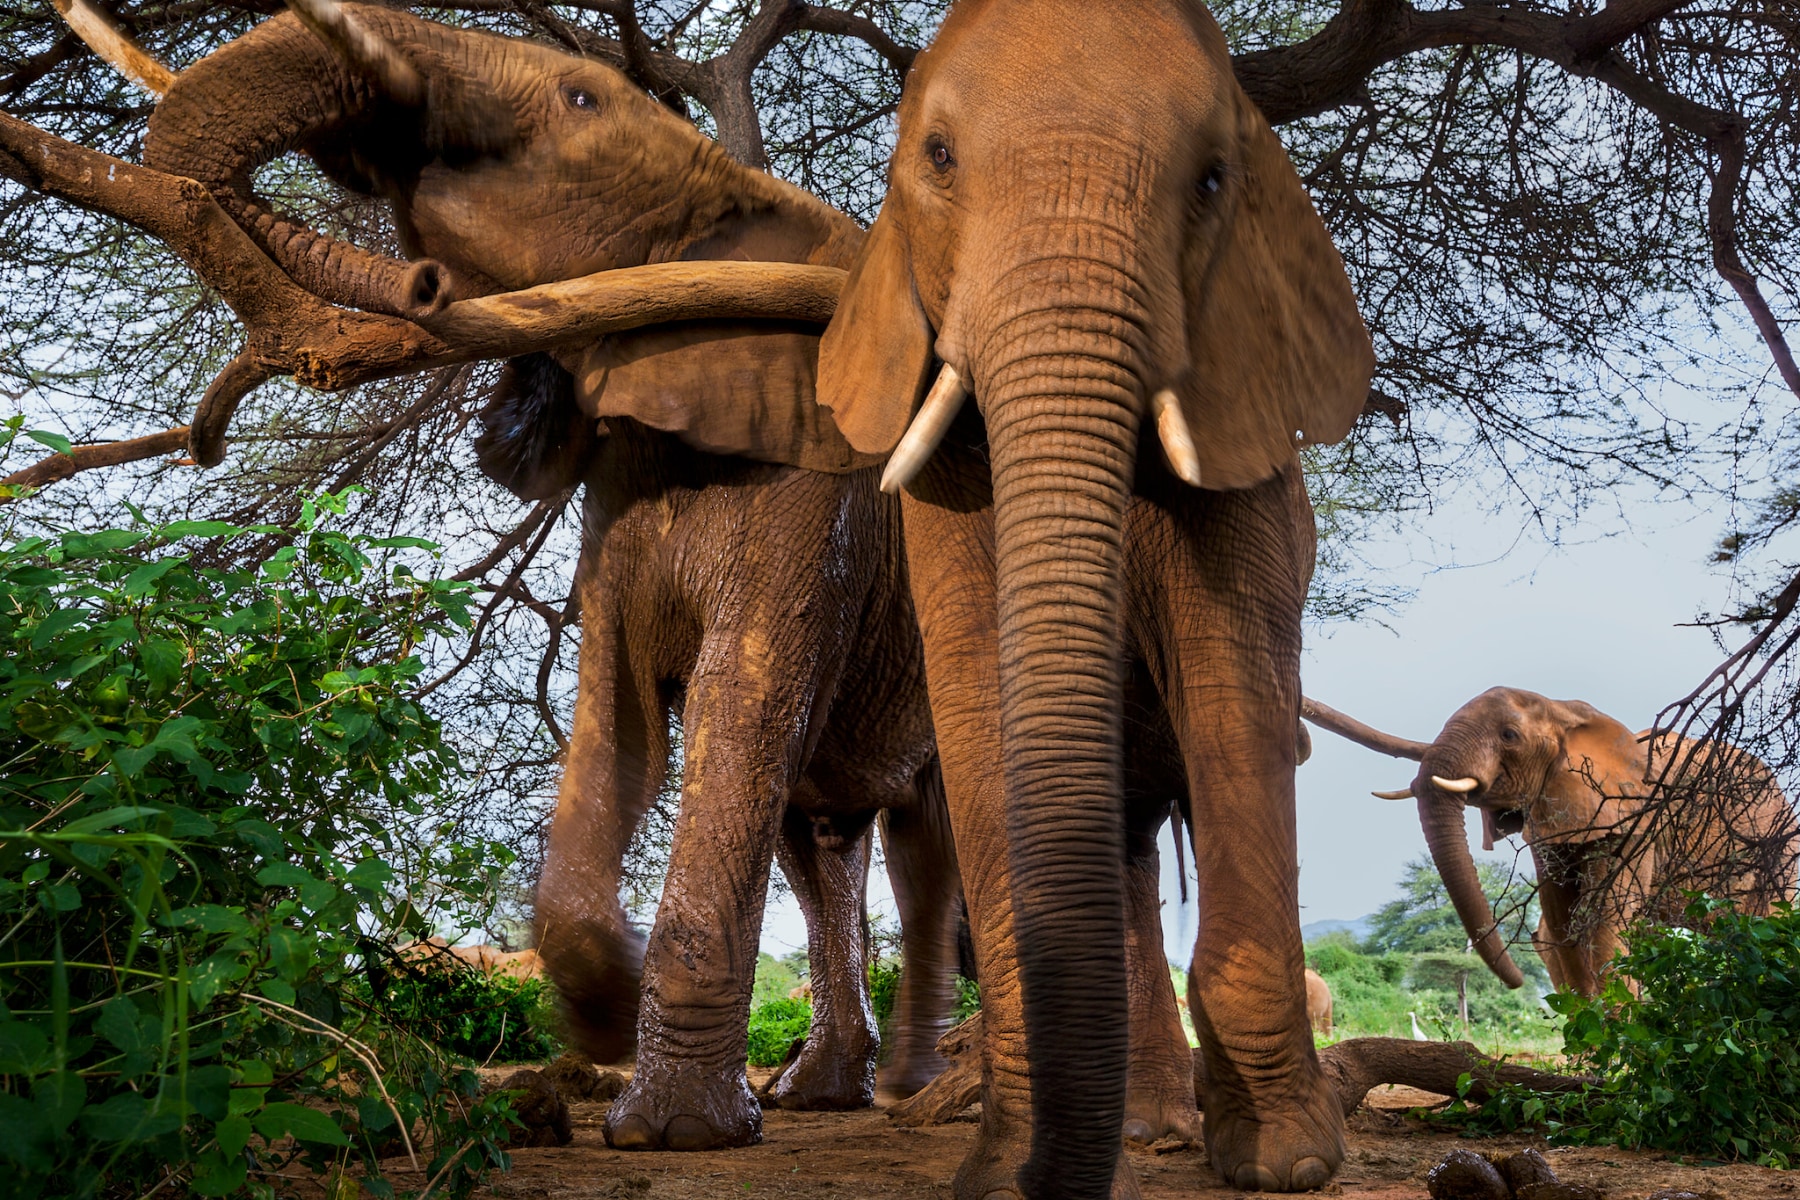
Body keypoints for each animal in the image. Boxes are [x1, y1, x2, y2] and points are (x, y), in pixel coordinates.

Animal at [142, 0, 972, 1151]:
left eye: (580, 98)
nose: (423, 282)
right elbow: (615, 726)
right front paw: (607, 1013)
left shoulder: (821, 483)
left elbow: (742, 704)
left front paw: (675, 1131)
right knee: (821, 843)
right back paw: (823, 1093)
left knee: (933, 838)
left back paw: (926, 1094)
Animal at [810, 0, 1368, 1194]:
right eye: (937, 157)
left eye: (1213, 178)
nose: (1032, 1180)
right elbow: (978, 695)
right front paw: (1000, 1167)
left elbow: (1234, 681)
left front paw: (1288, 1161)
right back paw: (1148, 1126)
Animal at [1310, 690, 1800, 1000]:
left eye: (1509, 736)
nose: (1516, 985)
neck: (1564, 709)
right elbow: (1561, 920)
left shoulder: (1635, 822)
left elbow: (1602, 923)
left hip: (1778, 848)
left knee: (1762, 923)